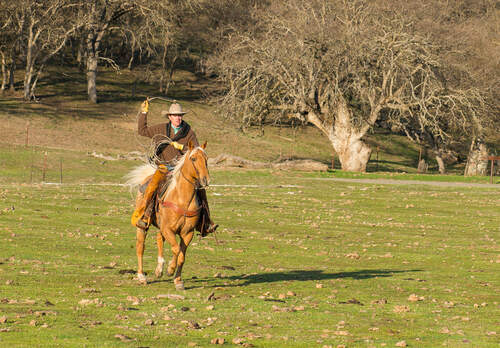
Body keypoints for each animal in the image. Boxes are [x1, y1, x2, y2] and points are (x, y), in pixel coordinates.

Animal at [128, 140, 210, 290]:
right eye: (193, 158)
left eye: (206, 159)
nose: (205, 180)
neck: (182, 200)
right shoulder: (168, 229)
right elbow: (176, 249)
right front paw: (170, 269)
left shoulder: (187, 233)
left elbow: (182, 256)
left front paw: (178, 281)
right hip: (143, 225)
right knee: (140, 246)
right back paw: (142, 276)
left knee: (159, 238)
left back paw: (159, 269)